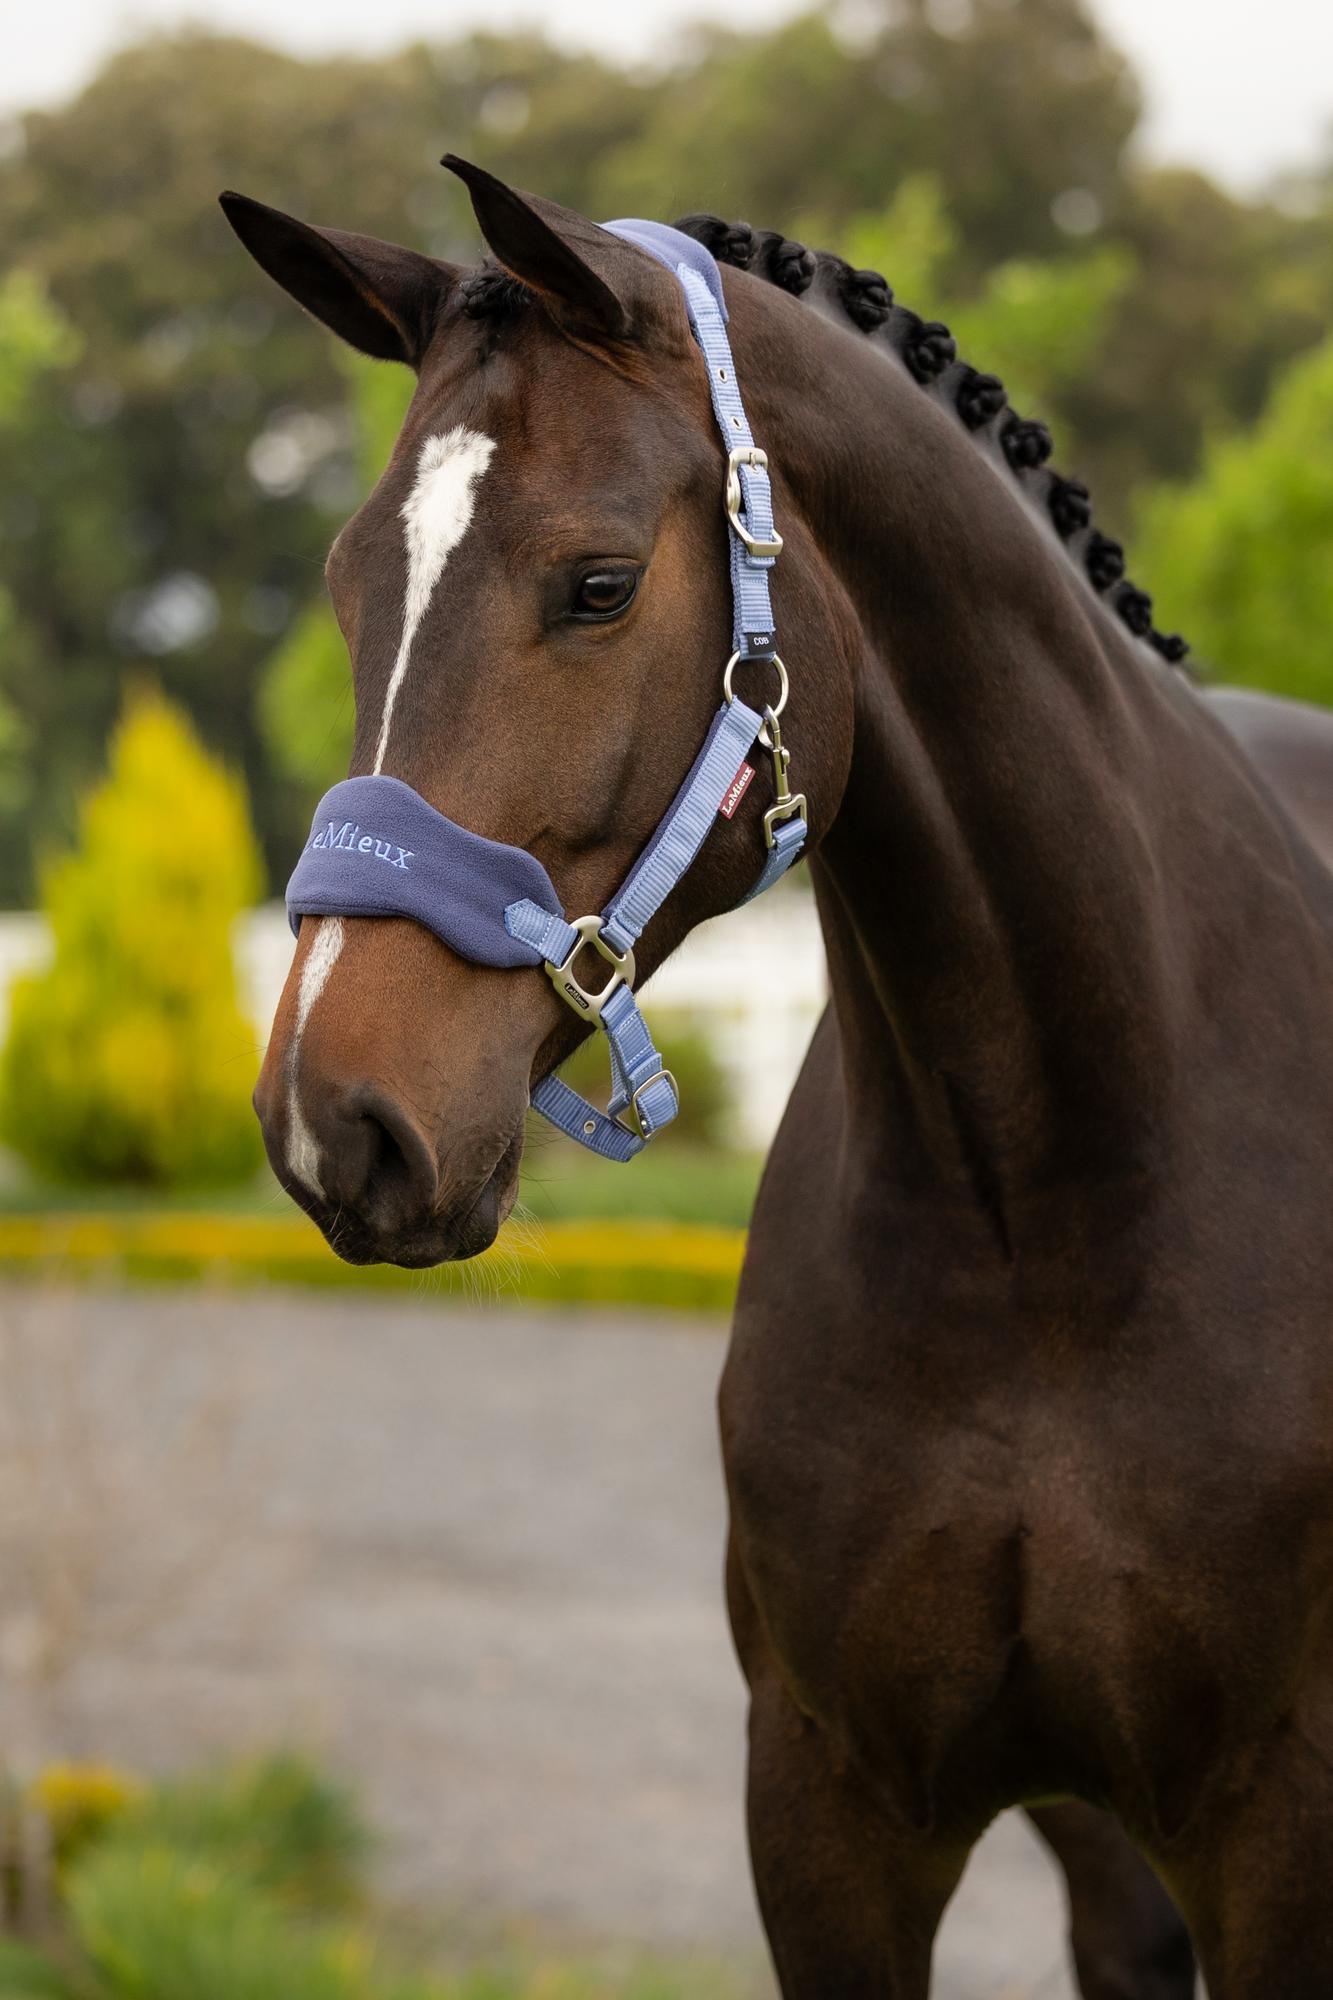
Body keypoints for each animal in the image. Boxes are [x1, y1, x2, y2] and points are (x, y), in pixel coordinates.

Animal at [224, 159, 1333, 1997]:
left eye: (599, 584)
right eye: (344, 584)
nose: (336, 1120)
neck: (1058, 1193)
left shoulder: (1278, 1838)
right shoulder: (830, 1816)